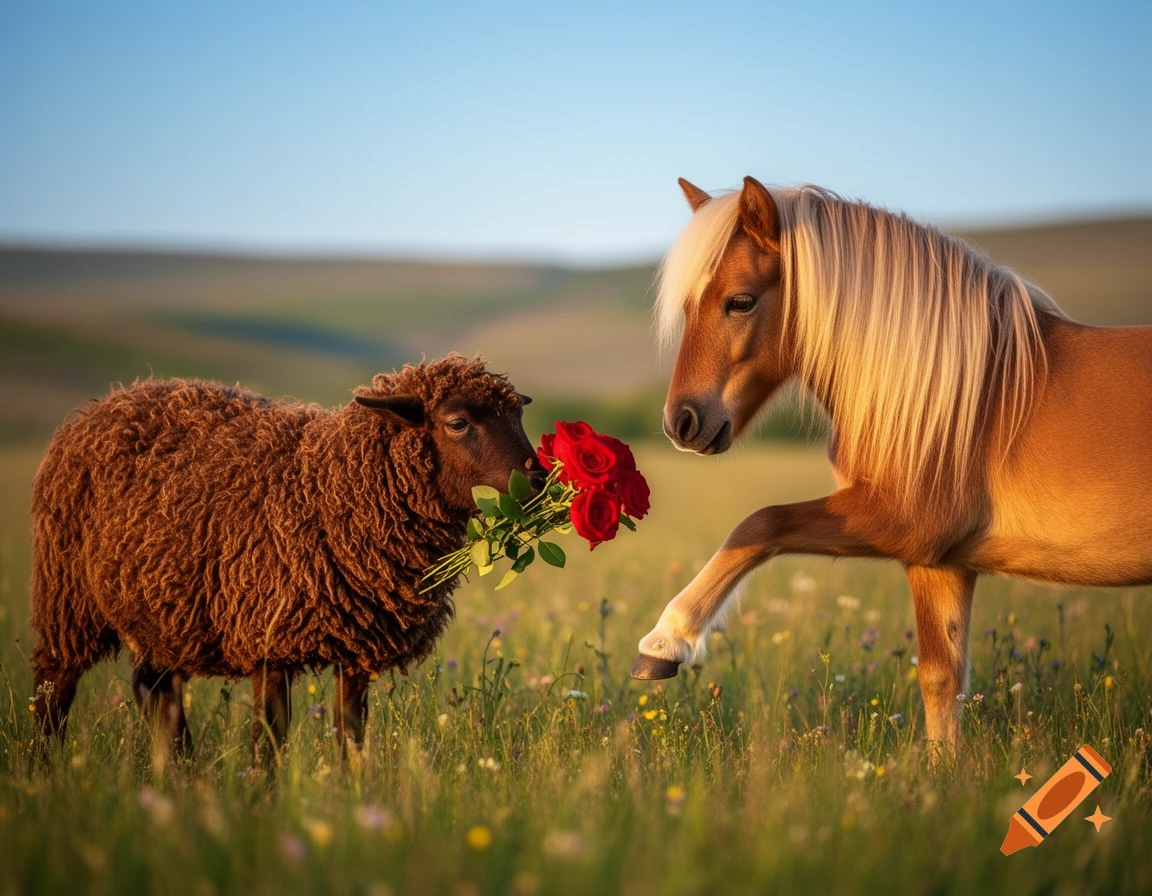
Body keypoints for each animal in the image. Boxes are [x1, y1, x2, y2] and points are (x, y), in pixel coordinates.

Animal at [30, 354, 541, 757]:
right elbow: (269, 747)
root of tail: (109, 401)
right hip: (67, 601)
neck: (331, 489)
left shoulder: (356, 649)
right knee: (52, 693)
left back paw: (183, 774)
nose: (538, 483)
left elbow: (350, 739)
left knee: (155, 689)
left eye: (519, 416)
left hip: (158, 609)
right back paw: (44, 775)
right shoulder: (268, 642)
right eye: (458, 422)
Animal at [630, 176, 1152, 752]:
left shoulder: (903, 523)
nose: (680, 422)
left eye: (740, 301)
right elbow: (942, 680)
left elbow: (760, 523)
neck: (965, 395)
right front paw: (941, 772)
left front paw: (665, 640)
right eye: (687, 305)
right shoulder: (939, 561)